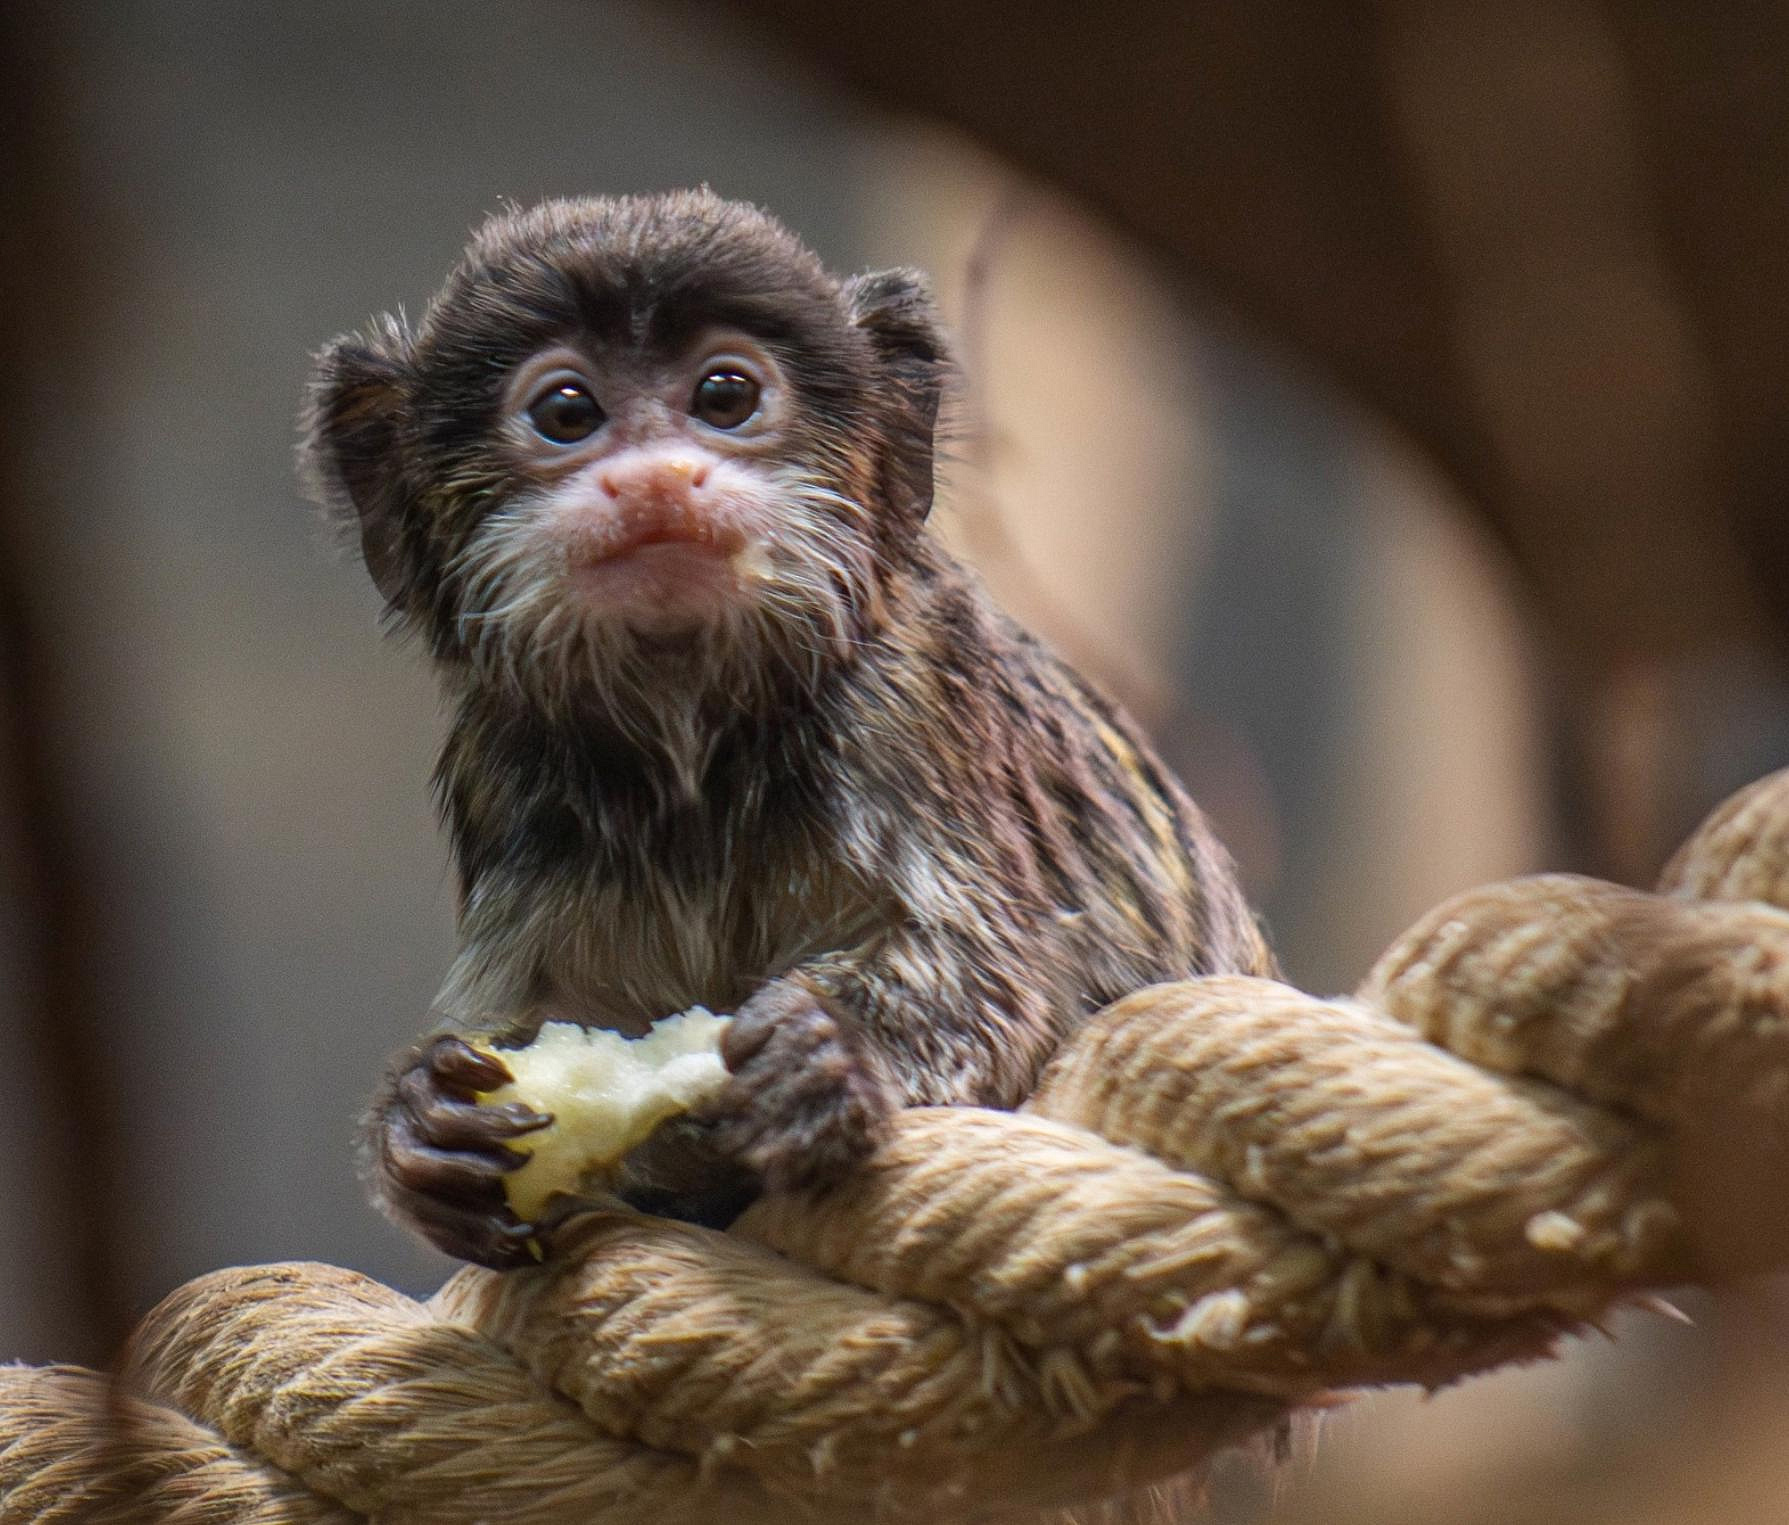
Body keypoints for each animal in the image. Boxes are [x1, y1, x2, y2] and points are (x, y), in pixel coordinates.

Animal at [300, 184, 1273, 1267]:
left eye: (724, 396)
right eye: (566, 413)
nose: (654, 478)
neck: (694, 744)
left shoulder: (911, 701)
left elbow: (1001, 983)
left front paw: (832, 1056)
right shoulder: (500, 774)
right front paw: (420, 1128)